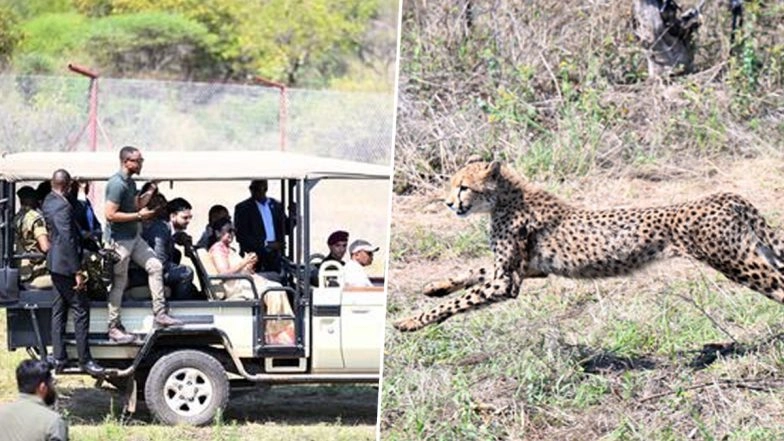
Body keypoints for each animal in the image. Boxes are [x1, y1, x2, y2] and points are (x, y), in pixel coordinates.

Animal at [393, 157, 784, 332]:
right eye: (452, 185)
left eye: (464, 187)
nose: (448, 203)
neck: (505, 197)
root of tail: (725, 195)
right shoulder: (529, 269)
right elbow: (473, 271)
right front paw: (435, 286)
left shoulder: (508, 282)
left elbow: (462, 299)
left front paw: (411, 321)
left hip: (738, 263)